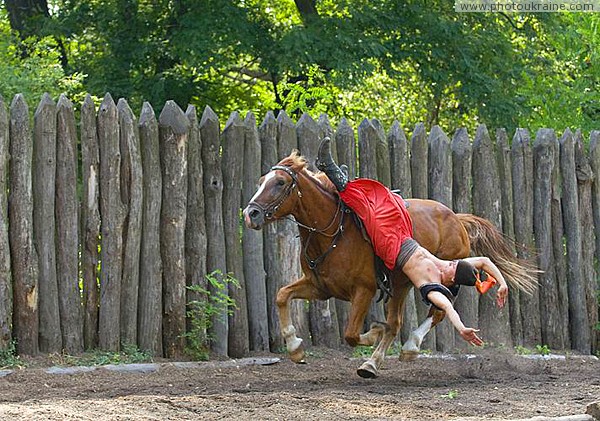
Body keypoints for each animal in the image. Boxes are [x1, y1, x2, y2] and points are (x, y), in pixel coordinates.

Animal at [244, 149, 540, 376]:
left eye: (280, 183)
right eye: (261, 180)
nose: (251, 213)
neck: (334, 230)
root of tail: (457, 218)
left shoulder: (364, 290)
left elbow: (352, 334)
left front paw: (374, 332)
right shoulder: (319, 287)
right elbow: (282, 295)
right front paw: (295, 347)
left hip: (411, 282)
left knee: (430, 315)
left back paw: (407, 347)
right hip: (399, 286)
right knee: (400, 321)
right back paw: (373, 362)